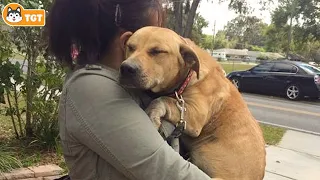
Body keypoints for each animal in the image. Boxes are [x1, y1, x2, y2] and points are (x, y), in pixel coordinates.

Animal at [119, 26, 266, 180]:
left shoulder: (195, 115)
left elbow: (162, 100)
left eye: (157, 51)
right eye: (130, 47)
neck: (188, 77)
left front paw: (152, 114)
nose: (127, 68)